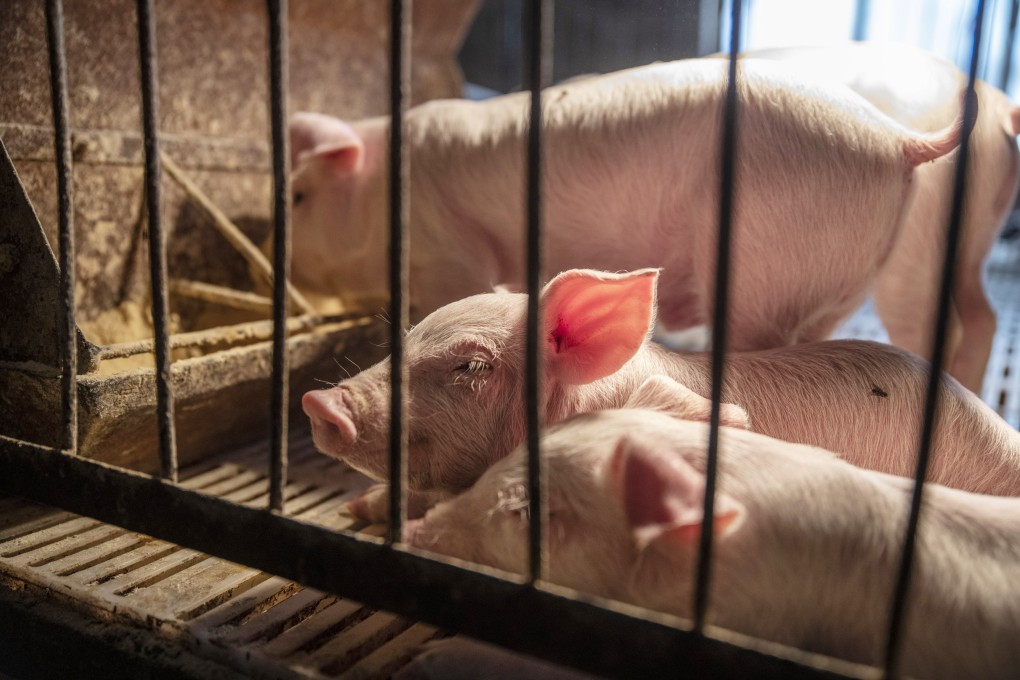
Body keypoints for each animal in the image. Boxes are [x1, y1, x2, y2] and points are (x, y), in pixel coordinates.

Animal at [288, 57, 965, 351]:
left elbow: (452, 299)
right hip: (841, 282)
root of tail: (898, 138)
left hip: (766, 262)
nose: (281, 261)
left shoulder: (445, 249)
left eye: (297, 196)